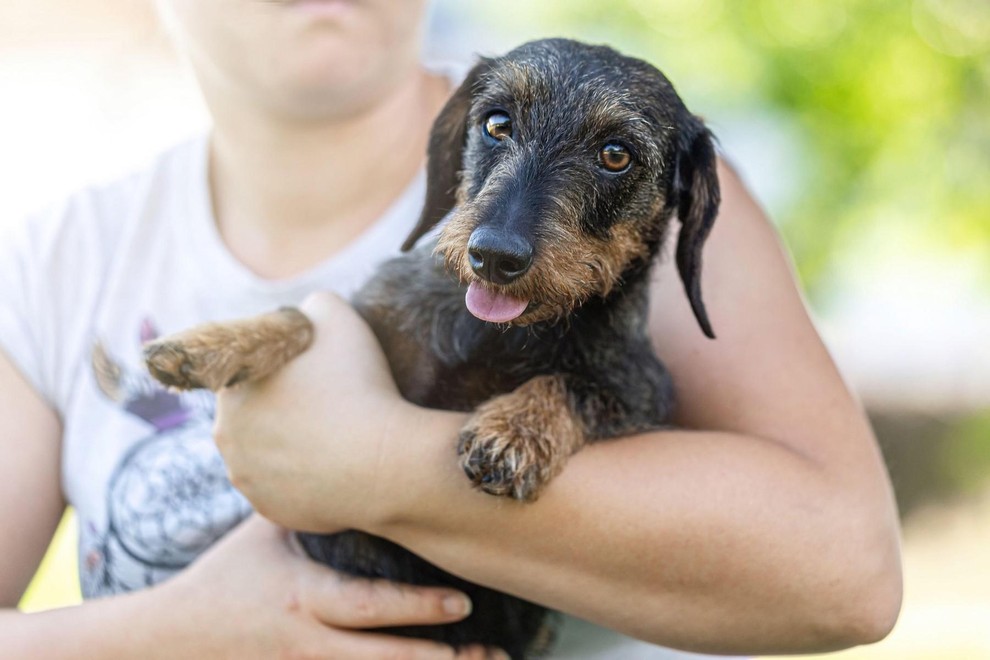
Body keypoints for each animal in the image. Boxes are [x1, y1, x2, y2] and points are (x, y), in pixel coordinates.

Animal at [143, 38, 720, 656]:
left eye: (616, 155)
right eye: (497, 123)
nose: (494, 255)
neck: (497, 334)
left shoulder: (645, 396)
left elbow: (572, 385)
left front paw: (514, 431)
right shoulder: (377, 314)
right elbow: (305, 318)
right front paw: (206, 344)